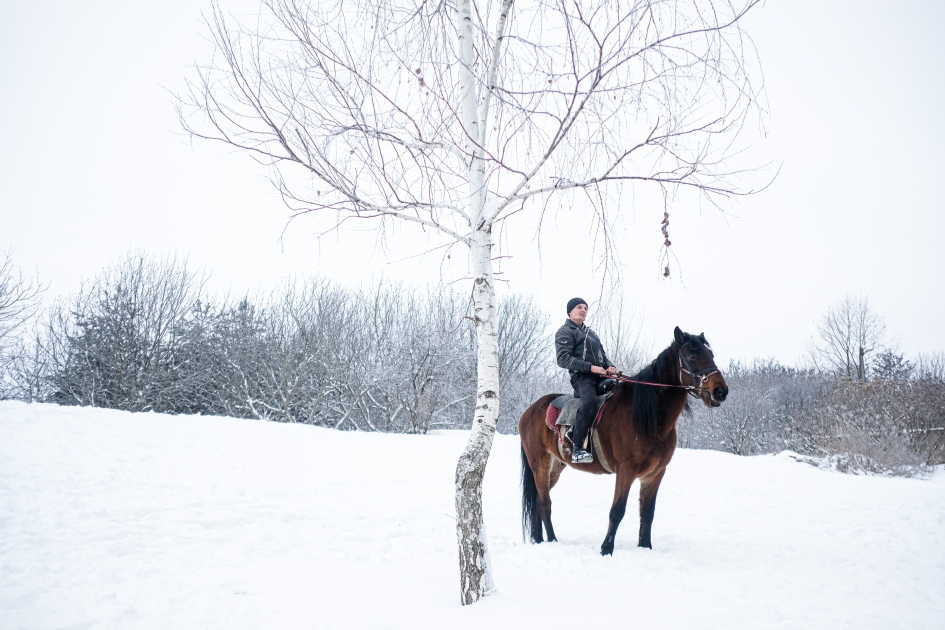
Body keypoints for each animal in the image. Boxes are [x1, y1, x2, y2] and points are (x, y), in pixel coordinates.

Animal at [520, 328, 728, 556]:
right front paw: (606, 549)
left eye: (711, 355)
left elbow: (648, 512)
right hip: (540, 464)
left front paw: (645, 547)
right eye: (692, 356)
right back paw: (550, 540)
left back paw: (541, 539)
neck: (647, 417)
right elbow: (617, 510)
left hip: (556, 466)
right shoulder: (625, 471)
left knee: (539, 501)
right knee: (544, 502)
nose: (720, 391)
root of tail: (530, 411)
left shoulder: (655, 473)